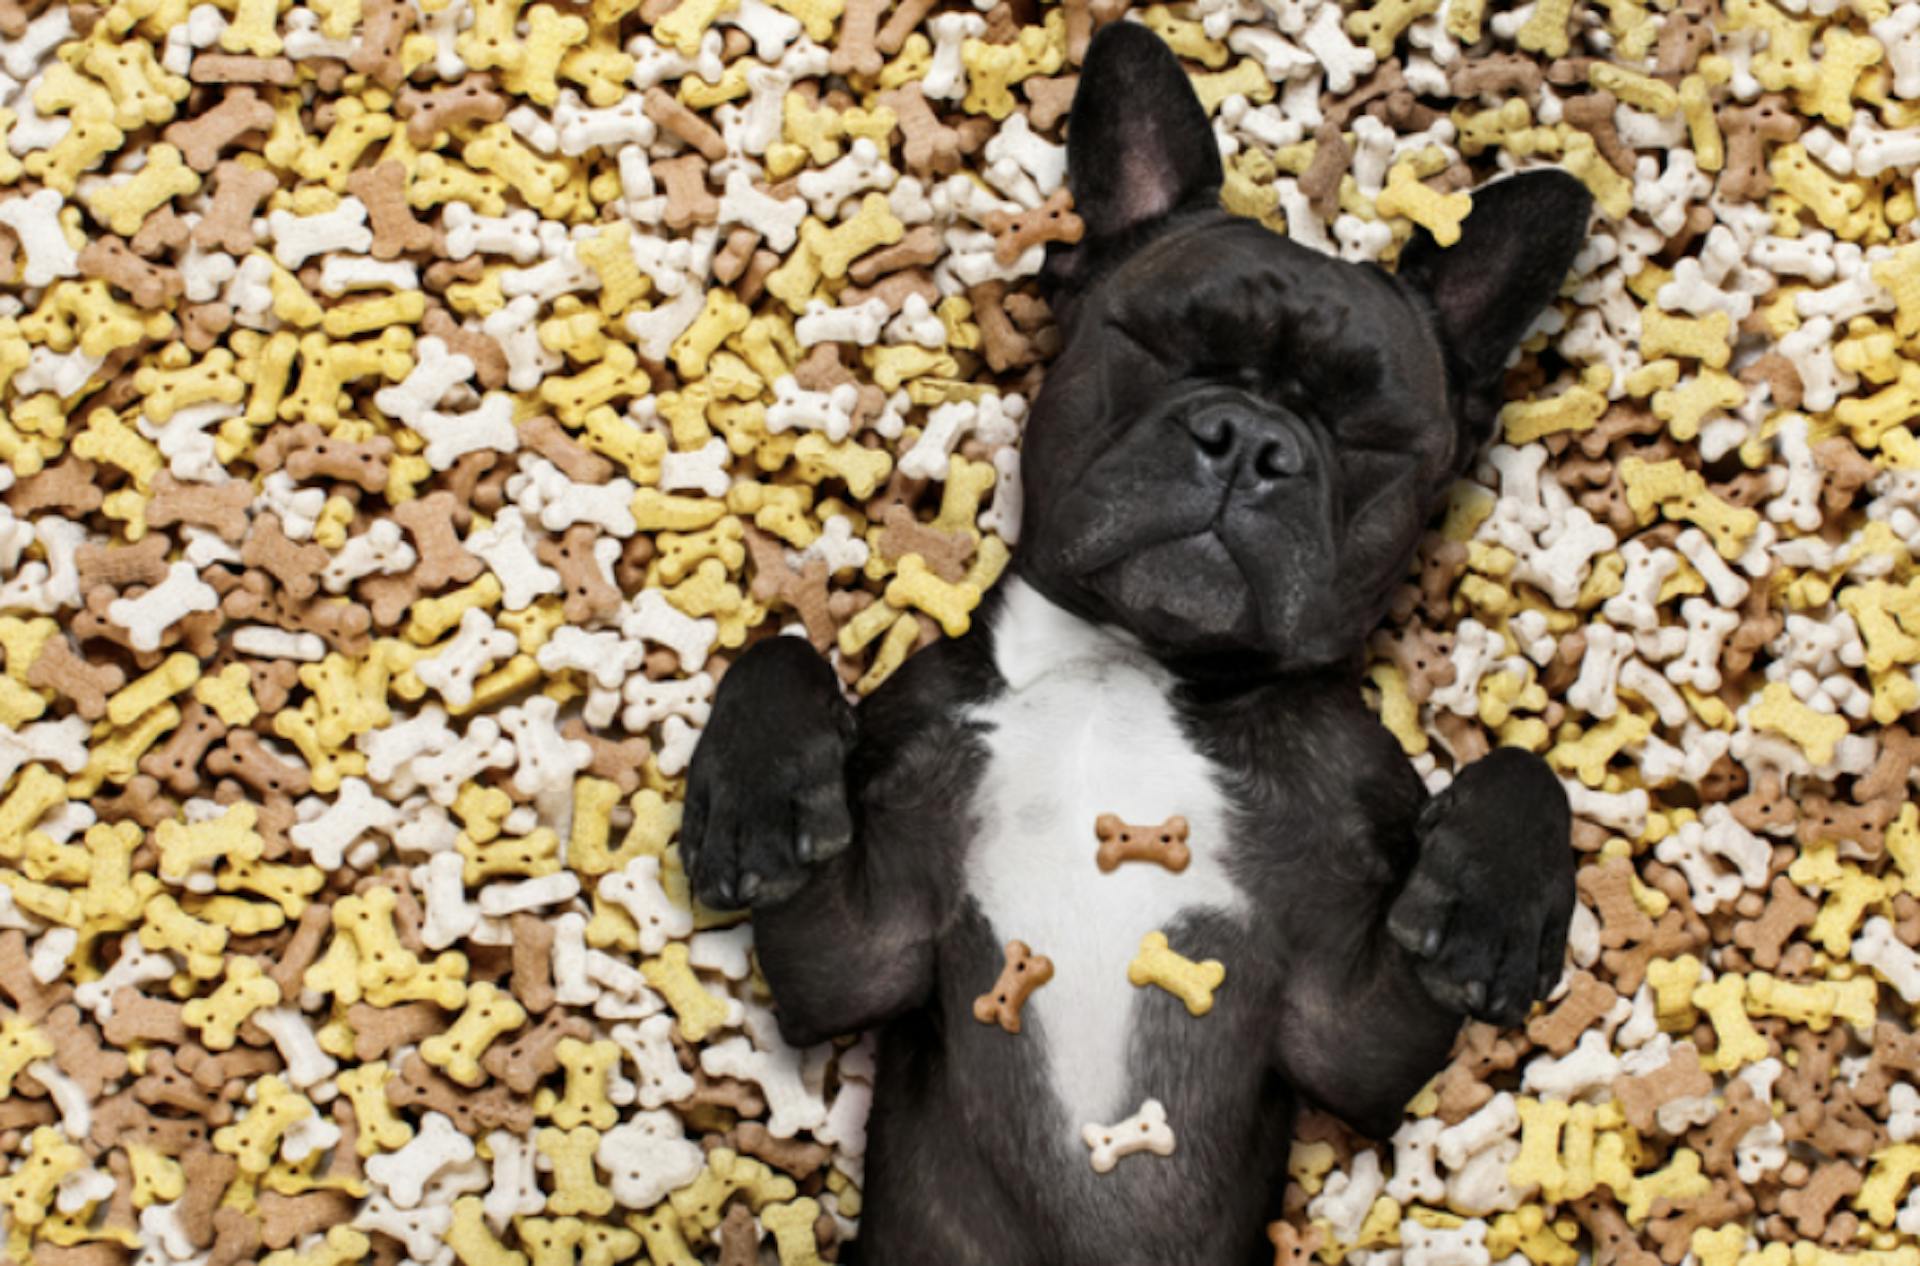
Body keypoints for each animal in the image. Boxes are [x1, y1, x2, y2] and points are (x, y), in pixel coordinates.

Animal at [683, 22, 1582, 1266]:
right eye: (1158, 343)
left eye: (1370, 431)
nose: (1249, 438)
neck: (1131, 664)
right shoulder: (857, 952)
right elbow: (781, 649)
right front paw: (756, 798)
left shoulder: (1351, 1034)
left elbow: (1523, 766)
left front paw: (1494, 906)